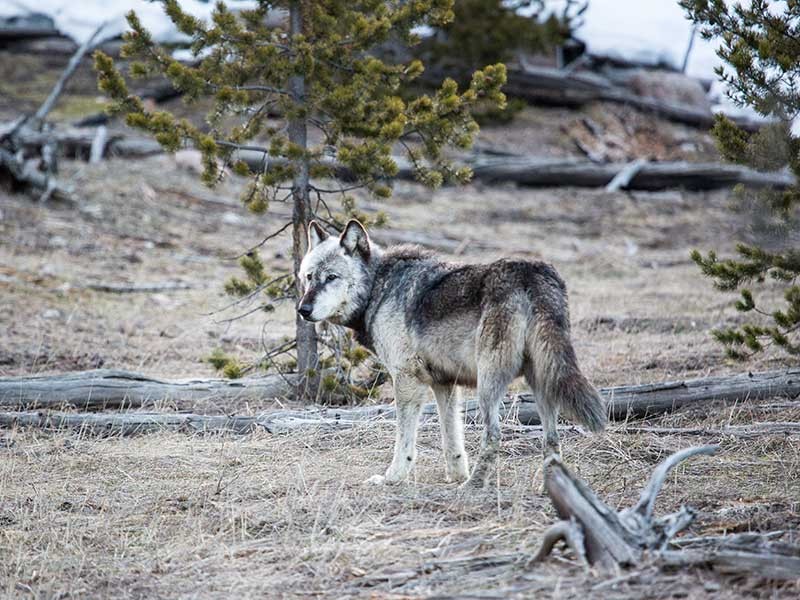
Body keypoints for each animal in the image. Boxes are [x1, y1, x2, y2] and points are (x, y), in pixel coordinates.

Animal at [298, 219, 605, 488]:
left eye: (332, 278)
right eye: (309, 277)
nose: (302, 310)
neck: (379, 288)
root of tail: (533, 273)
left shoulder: (407, 380)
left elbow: (404, 440)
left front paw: (392, 478)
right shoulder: (444, 383)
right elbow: (451, 437)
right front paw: (456, 475)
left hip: (489, 385)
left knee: (494, 435)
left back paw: (473, 487)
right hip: (542, 380)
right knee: (551, 440)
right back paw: (550, 490)